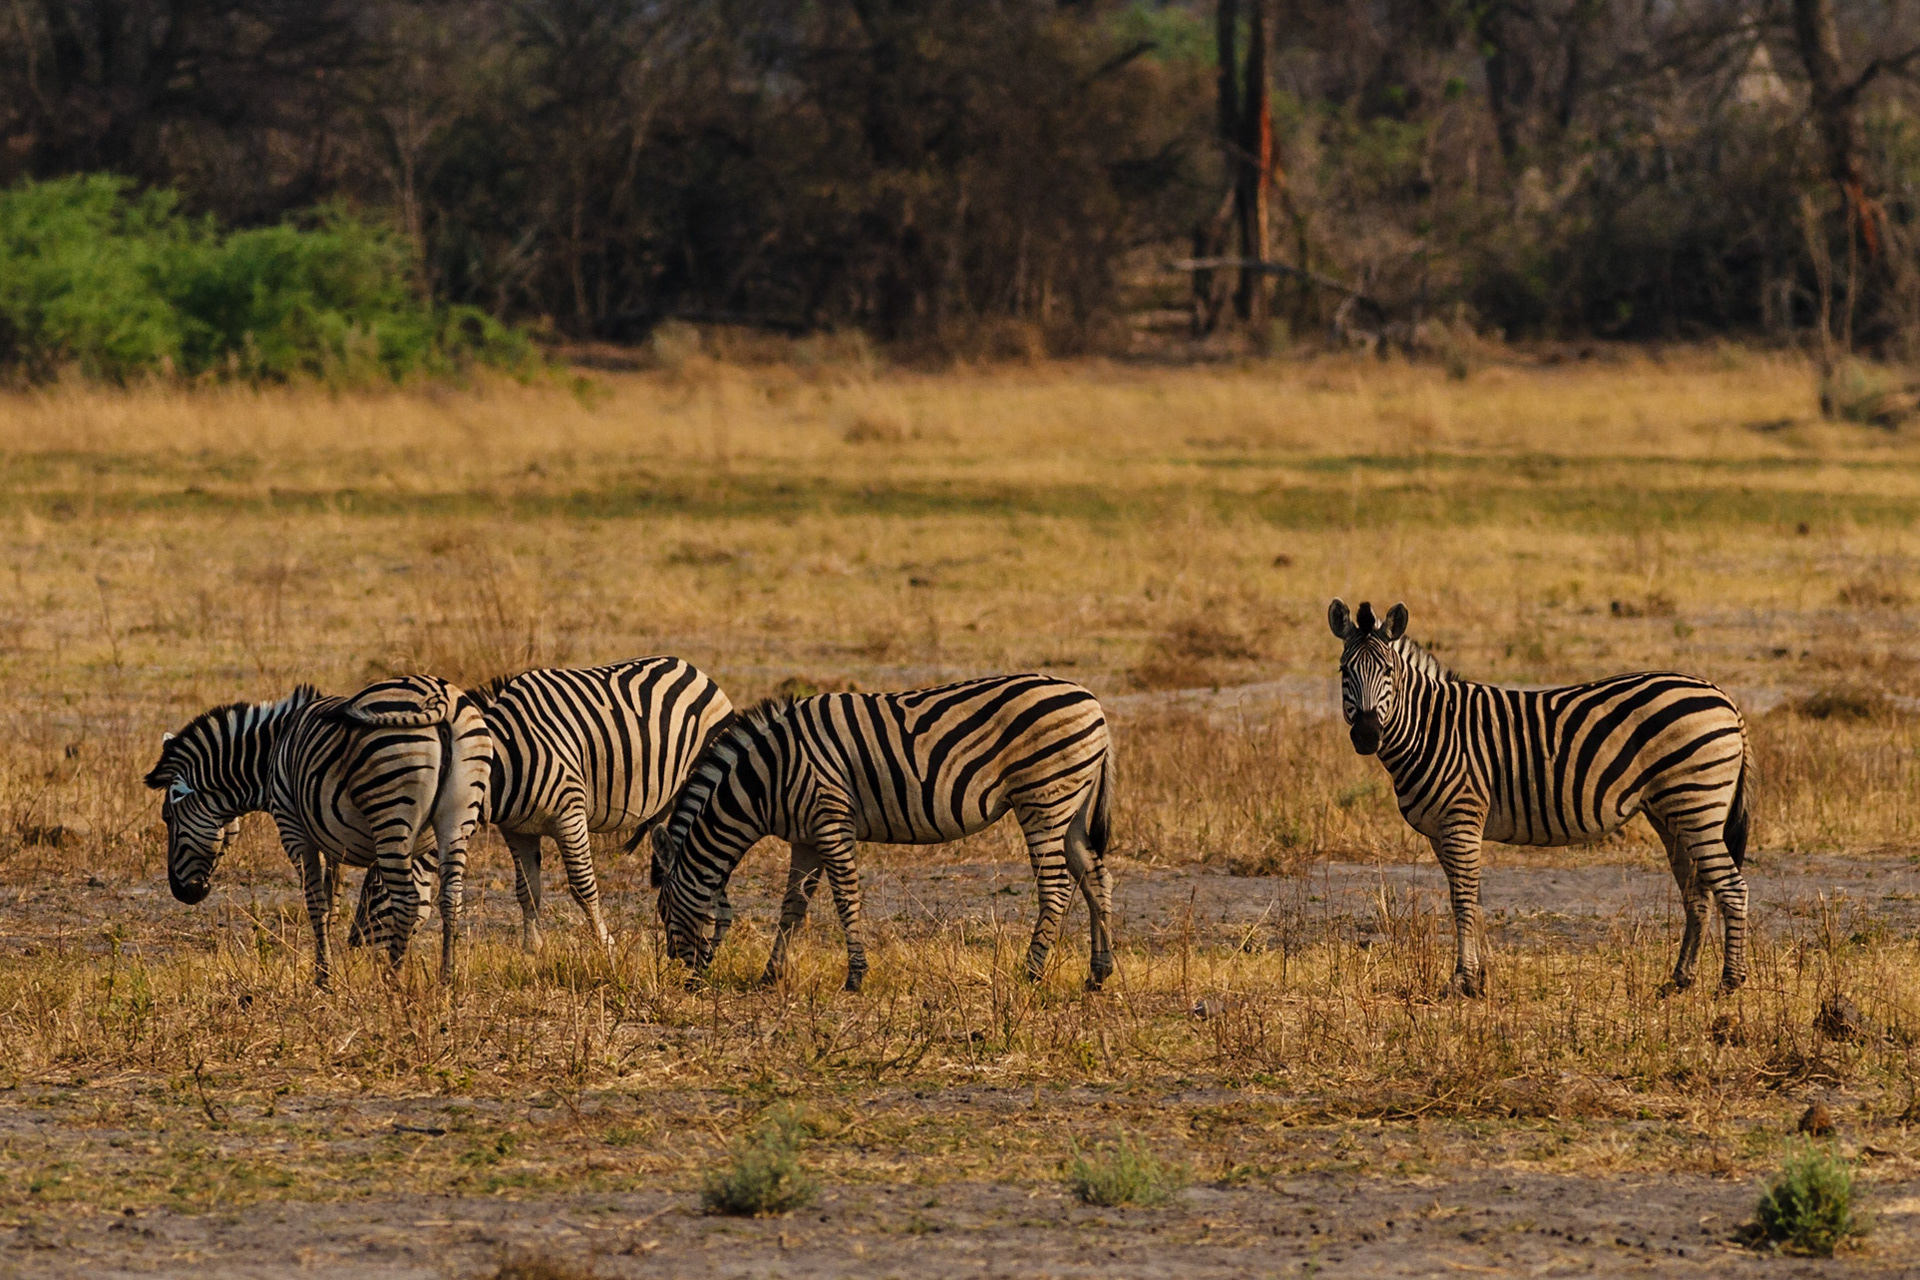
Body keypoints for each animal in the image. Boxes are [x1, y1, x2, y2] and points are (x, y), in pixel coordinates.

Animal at [144, 675, 492, 988]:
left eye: (167, 819)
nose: (182, 892)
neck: (271, 757)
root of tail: (439, 696)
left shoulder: (294, 829)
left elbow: (315, 904)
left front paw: (323, 979)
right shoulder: (334, 839)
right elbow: (331, 904)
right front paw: (329, 968)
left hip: (391, 811)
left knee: (406, 901)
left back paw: (392, 984)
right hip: (458, 819)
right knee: (451, 899)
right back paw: (447, 981)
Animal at [348, 657, 734, 955]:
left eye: (375, 891)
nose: (353, 947)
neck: (500, 766)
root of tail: (691, 668)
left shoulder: (570, 815)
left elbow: (582, 885)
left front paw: (606, 946)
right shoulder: (516, 829)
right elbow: (528, 892)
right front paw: (532, 951)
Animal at [651, 674, 1116, 993]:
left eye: (663, 910)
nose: (684, 977)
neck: (767, 776)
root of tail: (1092, 702)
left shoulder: (830, 820)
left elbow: (845, 899)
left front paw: (855, 976)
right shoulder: (805, 839)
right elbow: (792, 907)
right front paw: (771, 974)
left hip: (1043, 798)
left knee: (1056, 886)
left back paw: (1031, 972)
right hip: (1071, 805)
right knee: (1095, 878)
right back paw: (1098, 973)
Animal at [1329, 599, 1753, 996]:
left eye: (1388, 671)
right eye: (1344, 671)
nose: (1366, 735)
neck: (1430, 728)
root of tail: (1724, 697)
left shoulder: (1461, 819)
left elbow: (1463, 899)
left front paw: (1462, 979)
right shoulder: (1440, 831)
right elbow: (1472, 899)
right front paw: (1484, 977)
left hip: (1697, 804)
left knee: (1732, 887)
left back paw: (1730, 981)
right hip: (1670, 814)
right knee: (1697, 892)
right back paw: (1680, 979)